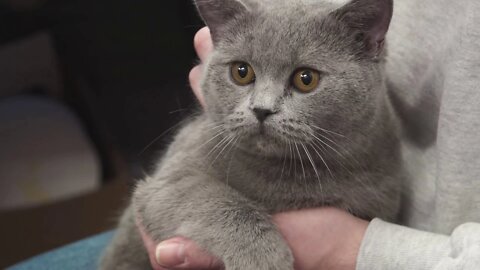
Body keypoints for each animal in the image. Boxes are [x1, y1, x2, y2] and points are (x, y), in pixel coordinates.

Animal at [99, 0, 404, 268]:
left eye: (306, 79)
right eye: (241, 72)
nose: (261, 109)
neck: (292, 175)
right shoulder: (169, 180)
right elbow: (226, 204)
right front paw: (265, 260)